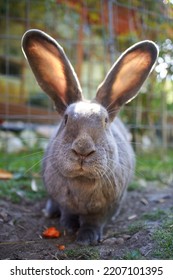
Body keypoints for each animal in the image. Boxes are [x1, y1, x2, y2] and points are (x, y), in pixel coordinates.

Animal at [21, 29, 158, 245]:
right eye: (66, 119)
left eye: (105, 121)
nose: (82, 150)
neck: (82, 181)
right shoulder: (65, 202)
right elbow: (67, 212)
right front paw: (69, 227)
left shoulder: (106, 208)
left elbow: (94, 221)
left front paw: (86, 238)